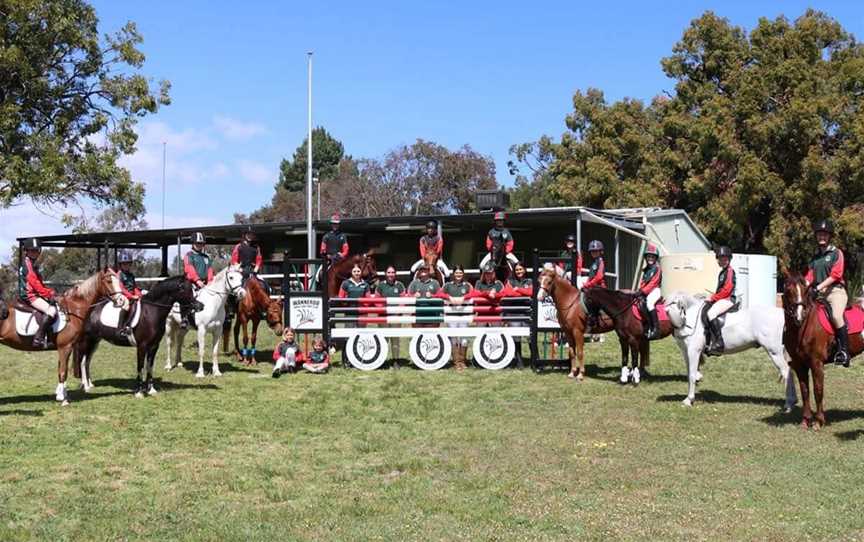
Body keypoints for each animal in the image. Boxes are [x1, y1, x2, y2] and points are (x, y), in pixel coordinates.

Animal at [0, 270, 121, 406]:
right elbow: (63, 372)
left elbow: (60, 370)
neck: (74, 310)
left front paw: (61, 394)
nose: (121, 300)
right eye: (109, 281)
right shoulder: (65, 347)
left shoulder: (64, 348)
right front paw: (63, 399)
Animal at [73, 278, 202, 398]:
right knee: (82, 361)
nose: (200, 306)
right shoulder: (142, 346)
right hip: (86, 341)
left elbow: (149, 367)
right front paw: (139, 392)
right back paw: (85, 386)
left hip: (95, 341)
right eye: (185, 289)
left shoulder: (154, 346)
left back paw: (90, 384)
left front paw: (151, 390)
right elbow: (140, 367)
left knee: (88, 361)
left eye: (193, 289)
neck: (151, 312)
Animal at [780, 274, 860, 432]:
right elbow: (805, 390)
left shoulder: (816, 363)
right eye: (788, 291)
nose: (799, 316)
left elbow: (818, 390)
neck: (803, 328)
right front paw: (805, 421)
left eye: (805, 291)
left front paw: (818, 422)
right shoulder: (799, 364)